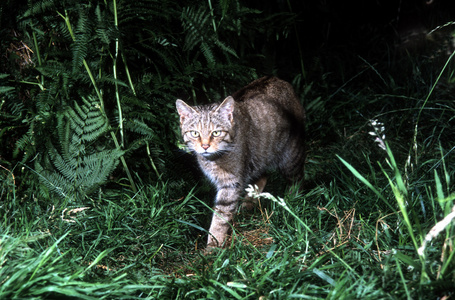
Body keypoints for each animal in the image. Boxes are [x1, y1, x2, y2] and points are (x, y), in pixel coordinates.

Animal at [177, 76, 306, 247]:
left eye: (216, 133)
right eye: (194, 133)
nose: (205, 146)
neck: (213, 160)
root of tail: (277, 78)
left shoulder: (231, 184)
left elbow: (219, 219)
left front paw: (213, 246)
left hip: (290, 158)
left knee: (298, 179)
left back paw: (292, 201)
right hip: (259, 158)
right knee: (262, 177)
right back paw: (246, 206)